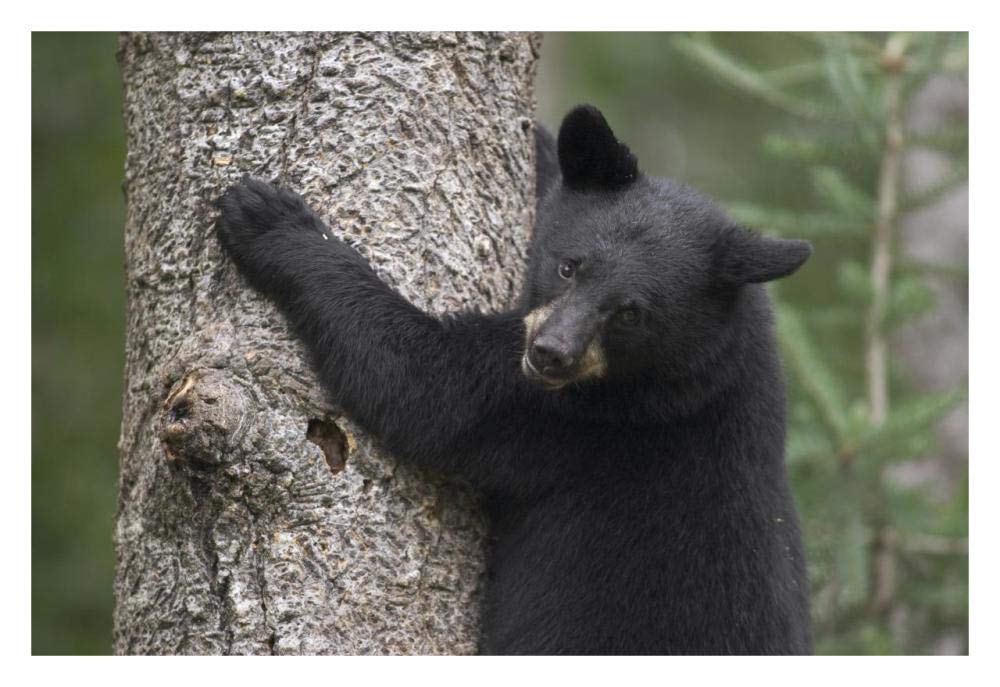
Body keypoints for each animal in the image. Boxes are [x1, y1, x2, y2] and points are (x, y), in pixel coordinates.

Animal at [215, 104, 813, 655]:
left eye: (630, 313)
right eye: (570, 265)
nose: (551, 354)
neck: (706, 362)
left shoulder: (585, 418)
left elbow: (425, 388)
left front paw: (271, 220)